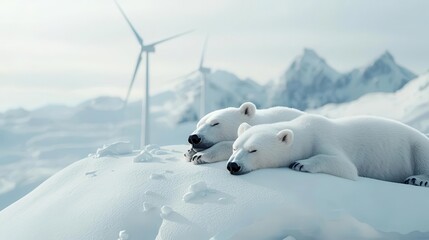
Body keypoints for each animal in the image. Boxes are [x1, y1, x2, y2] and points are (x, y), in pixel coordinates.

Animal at [229, 113, 428, 187]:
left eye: (253, 150)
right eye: (235, 147)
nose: (233, 165)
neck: (306, 131)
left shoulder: (324, 139)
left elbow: (346, 167)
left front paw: (300, 164)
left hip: (416, 145)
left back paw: (417, 179)